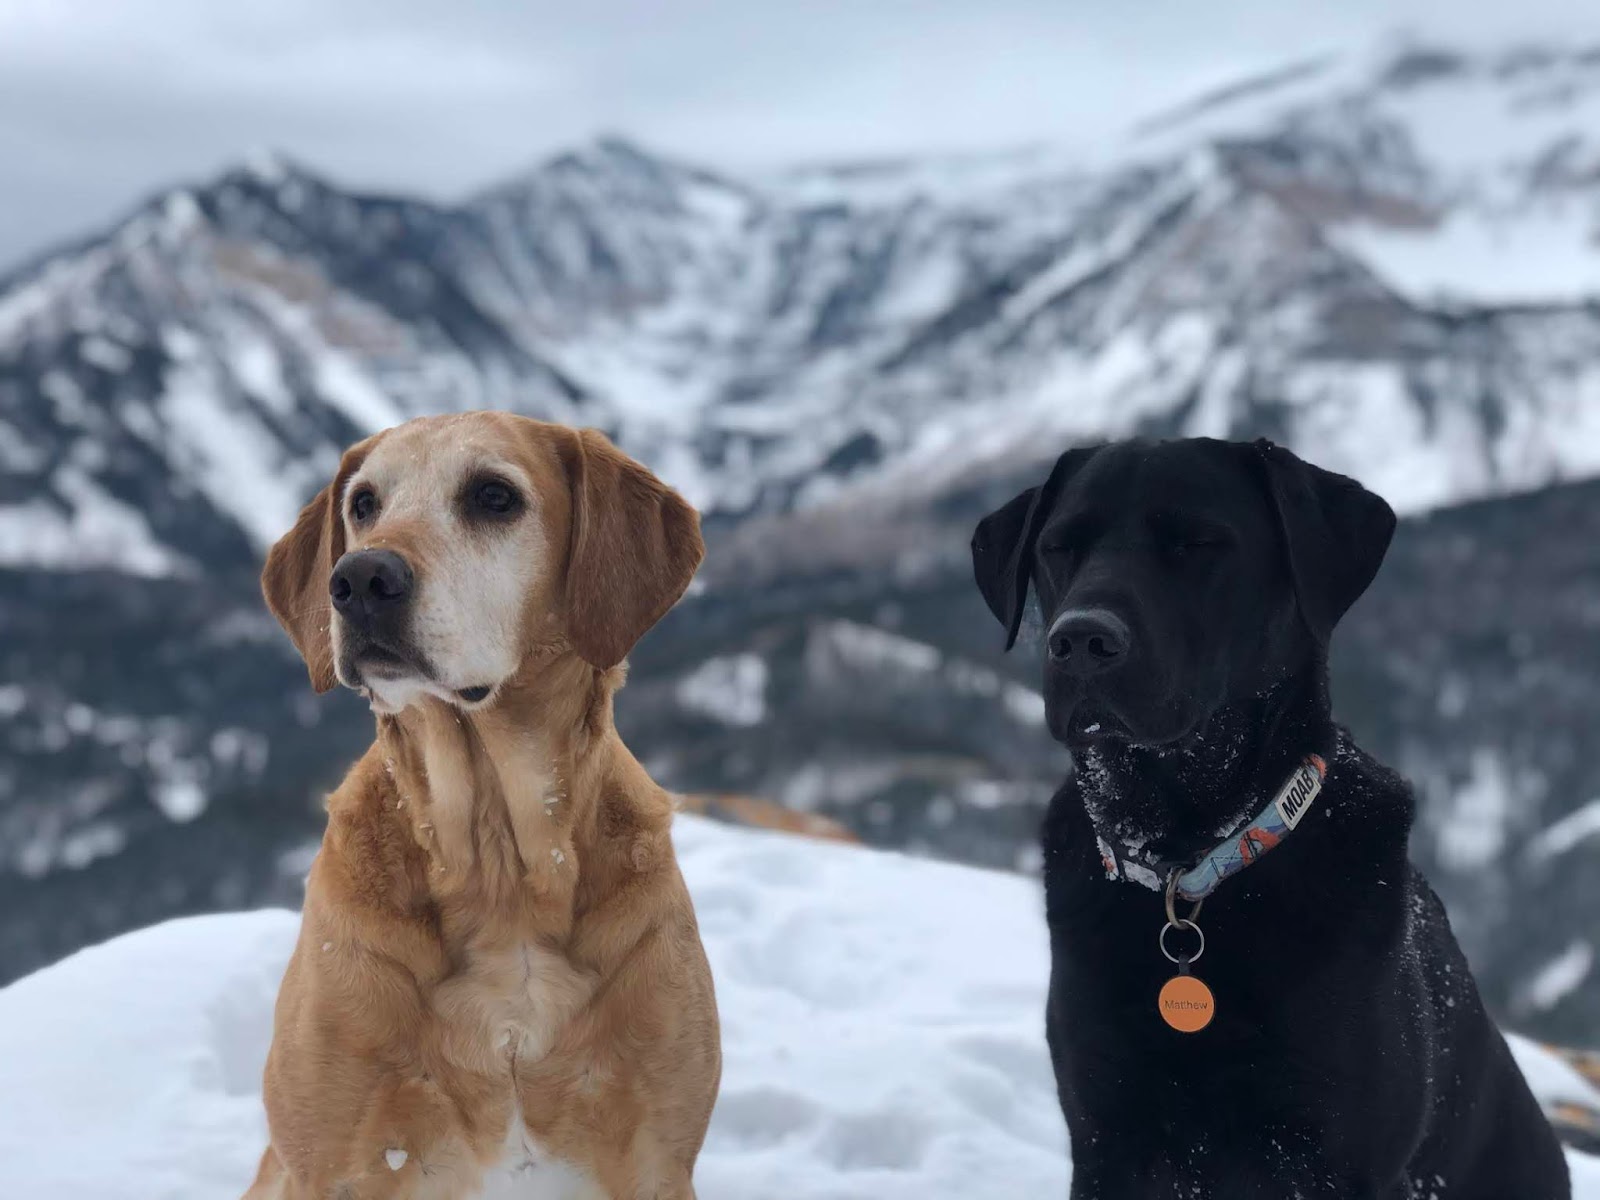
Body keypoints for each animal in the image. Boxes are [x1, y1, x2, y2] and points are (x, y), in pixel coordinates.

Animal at [966, 441, 1568, 1200]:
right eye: (1058, 547)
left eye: (1197, 543)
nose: (1079, 641)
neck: (1189, 862)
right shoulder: (1107, 1137)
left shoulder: (1339, 1157)